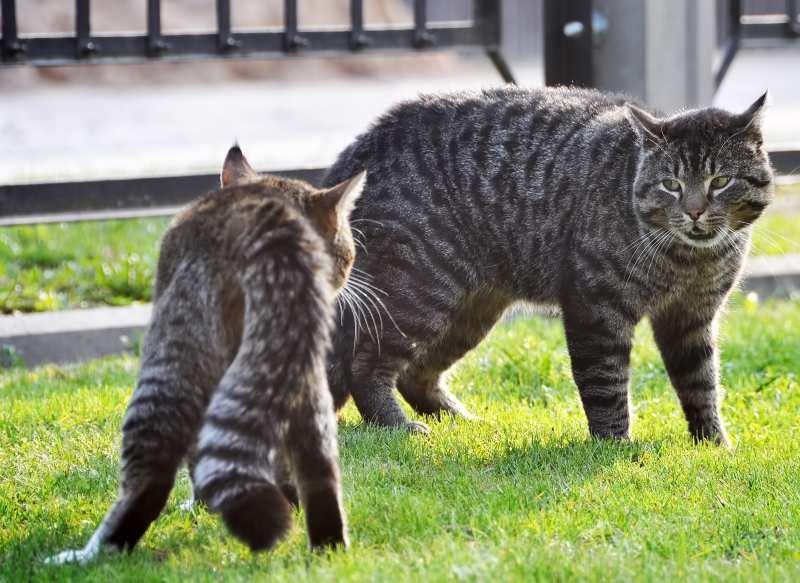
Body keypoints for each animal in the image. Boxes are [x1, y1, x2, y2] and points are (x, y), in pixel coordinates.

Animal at [47, 144, 366, 564]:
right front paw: (283, 498)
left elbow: (200, 456)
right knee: (319, 469)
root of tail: (270, 228)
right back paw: (327, 545)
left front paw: (202, 502)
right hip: (298, 377)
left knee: (151, 478)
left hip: (174, 358)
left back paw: (95, 552)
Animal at [324, 84, 776, 444]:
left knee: (414, 373)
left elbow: (701, 383)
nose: (695, 211)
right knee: (365, 366)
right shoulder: (595, 308)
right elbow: (605, 383)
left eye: (720, 181)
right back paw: (396, 425)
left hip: (468, 311)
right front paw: (615, 446)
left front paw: (714, 445)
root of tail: (365, 141)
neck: (690, 260)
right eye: (671, 184)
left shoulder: (691, 317)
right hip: (418, 292)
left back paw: (459, 419)